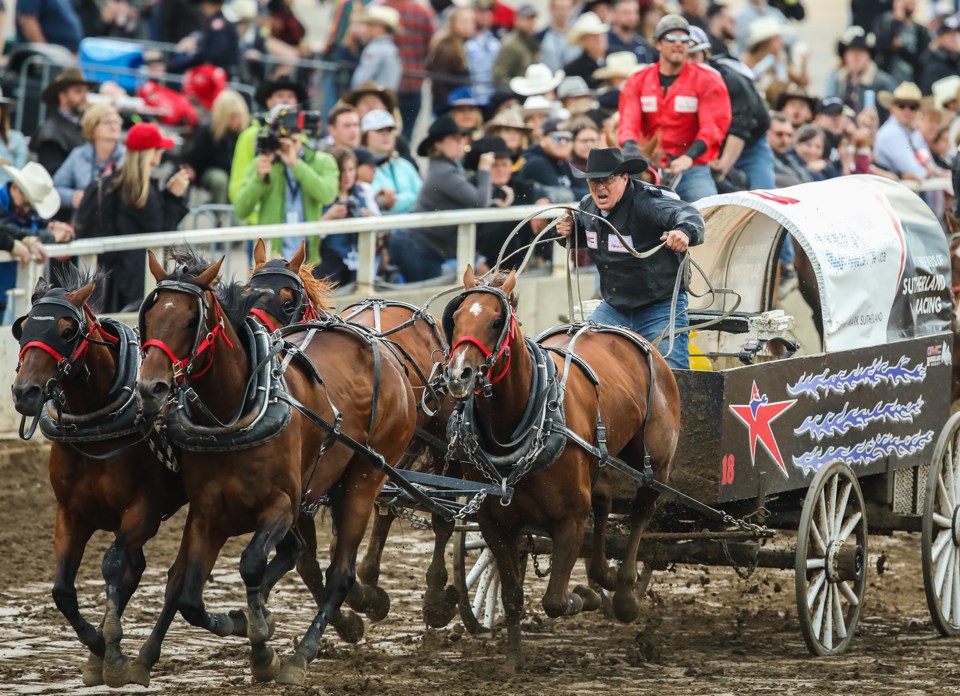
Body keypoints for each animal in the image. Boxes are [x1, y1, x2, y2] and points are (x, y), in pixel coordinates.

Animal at [9, 270, 185, 688]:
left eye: (67, 330)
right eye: (23, 326)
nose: (25, 392)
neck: (97, 423)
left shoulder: (143, 511)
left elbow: (113, 564)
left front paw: (113, 653)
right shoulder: (71, 514)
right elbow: (62, 589)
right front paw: (97, 647)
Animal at [124, 249, 416, 684]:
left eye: (193, 321)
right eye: (150, 316)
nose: (150, 387)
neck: (232, 418)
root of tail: (384, 352)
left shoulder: (282, 506)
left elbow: (252, 565)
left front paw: (261, 645)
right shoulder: (207, 514)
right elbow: (188, 593)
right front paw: (239, 621)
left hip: (367, 478)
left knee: (341, 574)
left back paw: (302, 655)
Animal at [442, 266, 684, 668]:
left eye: (495, 321)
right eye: (456, 317)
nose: (458, 374)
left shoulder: (570, 518)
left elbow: (554, 600)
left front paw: (584, 596)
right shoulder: (494, 524)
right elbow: (512, 595)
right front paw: (513, 660)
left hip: (656, 463)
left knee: (640, 513)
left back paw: (623, 593)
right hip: (600, 460)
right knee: (604, 502)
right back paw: (603, 574)